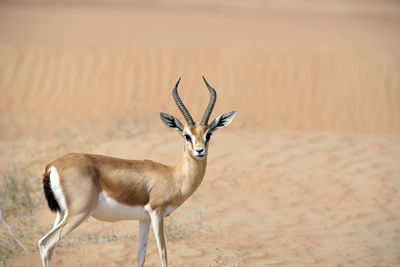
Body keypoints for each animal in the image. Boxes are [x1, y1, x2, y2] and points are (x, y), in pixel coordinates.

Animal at [37, 76, 236, 266]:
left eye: (208, 134)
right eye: (187, 135)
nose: (200, 151)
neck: (174, 176)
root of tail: (52, 165)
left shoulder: (144, 219)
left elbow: (141, 255)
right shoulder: (156, 213)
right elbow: (163, 253)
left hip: (62, 214)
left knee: (45, 244)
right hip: (78, 213)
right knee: (47, 243)